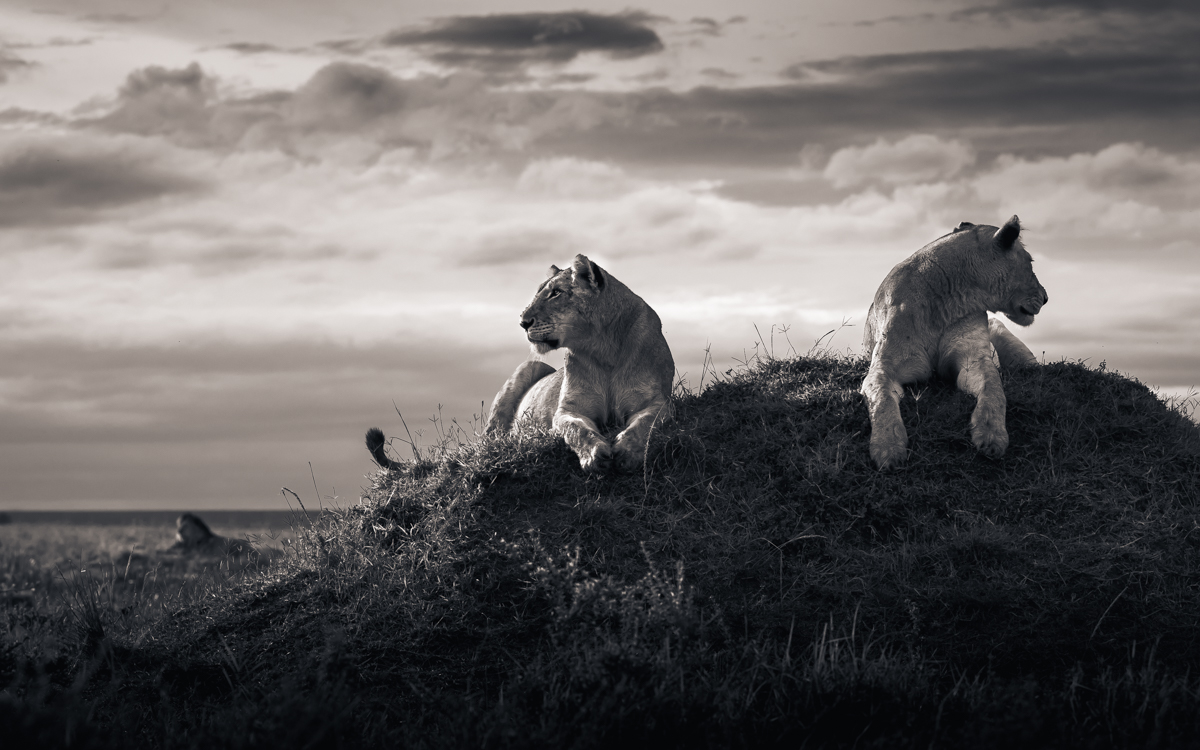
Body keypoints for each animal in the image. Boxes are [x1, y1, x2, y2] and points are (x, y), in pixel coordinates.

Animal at [366, 254, 674, 473]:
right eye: (540, 291)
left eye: (556, 293)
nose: (523, 322)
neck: (603, 349)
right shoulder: (567, 410)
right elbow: (577, 430)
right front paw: (594, 455)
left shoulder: (658, 401)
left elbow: (645, 423)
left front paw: (627, 452)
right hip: (527, 370)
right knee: (491, 440)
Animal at [861, 216, 1048, 468]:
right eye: (1030, 261)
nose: (1046, 298)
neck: (946, 303)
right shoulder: (884, 367)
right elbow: (881, 399)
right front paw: (888, 447)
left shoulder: (974, 360)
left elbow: (994, 390)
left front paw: (991, 435)